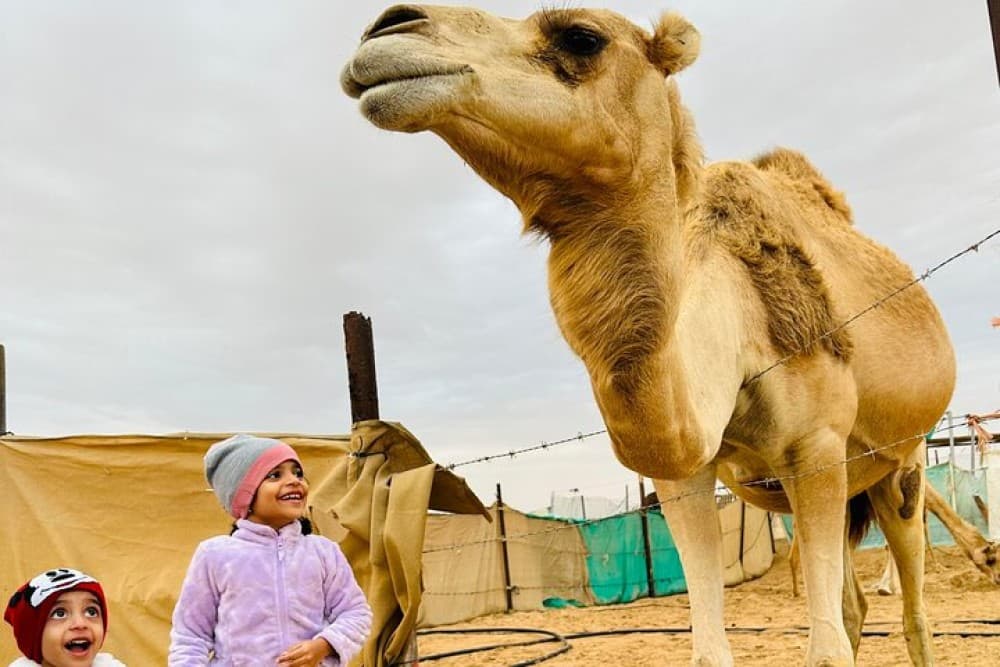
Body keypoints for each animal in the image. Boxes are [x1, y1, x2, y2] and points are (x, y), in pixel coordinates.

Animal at [341, 6, 956, 665]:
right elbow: (711, 645)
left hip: (902, 461)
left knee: (914, 610)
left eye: (581, 37)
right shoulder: (684, 475)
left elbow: (826, 648)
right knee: (854, 605)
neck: (738, 336)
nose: (387, 27)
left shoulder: (815, 448)